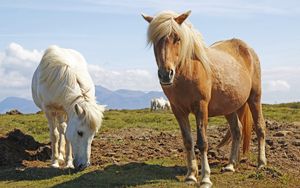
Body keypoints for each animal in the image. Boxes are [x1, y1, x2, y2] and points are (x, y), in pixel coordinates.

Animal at [142, 11, 266, 187]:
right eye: (155, 40)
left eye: (177, 38)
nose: (166, 74)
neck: (189, 70)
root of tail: (247, 49)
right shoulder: (178, 110)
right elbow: (188, 141)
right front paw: (191, 175)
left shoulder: (201, 107)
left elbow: (202, 142)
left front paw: (205, 178)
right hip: (229, 108)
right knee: (237, 131)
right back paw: (230, 165)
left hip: (254, 98)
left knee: (260, 127)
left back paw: (261, 163)